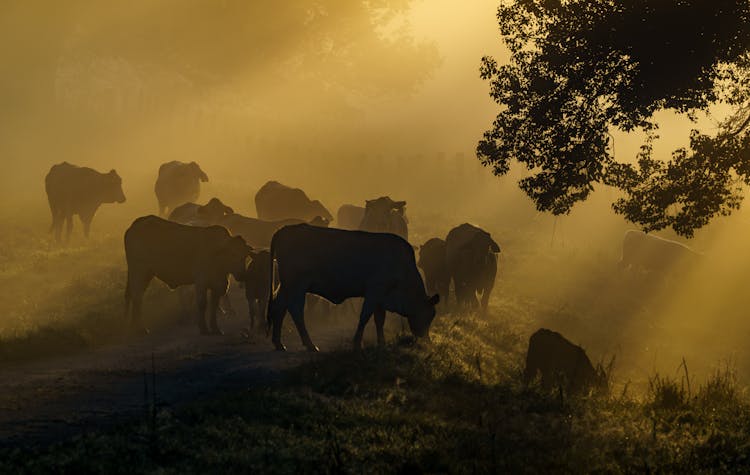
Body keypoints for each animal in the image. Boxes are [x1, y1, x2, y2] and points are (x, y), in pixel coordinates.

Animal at [123, 216, 253, 334]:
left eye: (245, 256)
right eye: (232, 254)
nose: (242, 275)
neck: (217, 257)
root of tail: (135, 225)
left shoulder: (218, 285)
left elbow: (214, 306)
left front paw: (215, 328)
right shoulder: (201, 282)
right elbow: (202, 303)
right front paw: (203, 328)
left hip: (144, 274)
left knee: (133, 296)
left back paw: (133, 326)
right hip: (139, 271)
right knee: (137, 297)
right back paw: (140, 328)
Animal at [268, 226, 440, 354]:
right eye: (429, 315)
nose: (425, 339)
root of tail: (283, 230)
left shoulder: (380, 298)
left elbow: (379, 320)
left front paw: (382, 343)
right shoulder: (374, 292)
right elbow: (364, 317)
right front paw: (357, 343)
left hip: (286, 286)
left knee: (279, 307)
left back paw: (279, 343)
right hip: (297, 285)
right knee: (295, 310)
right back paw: (310, 345)